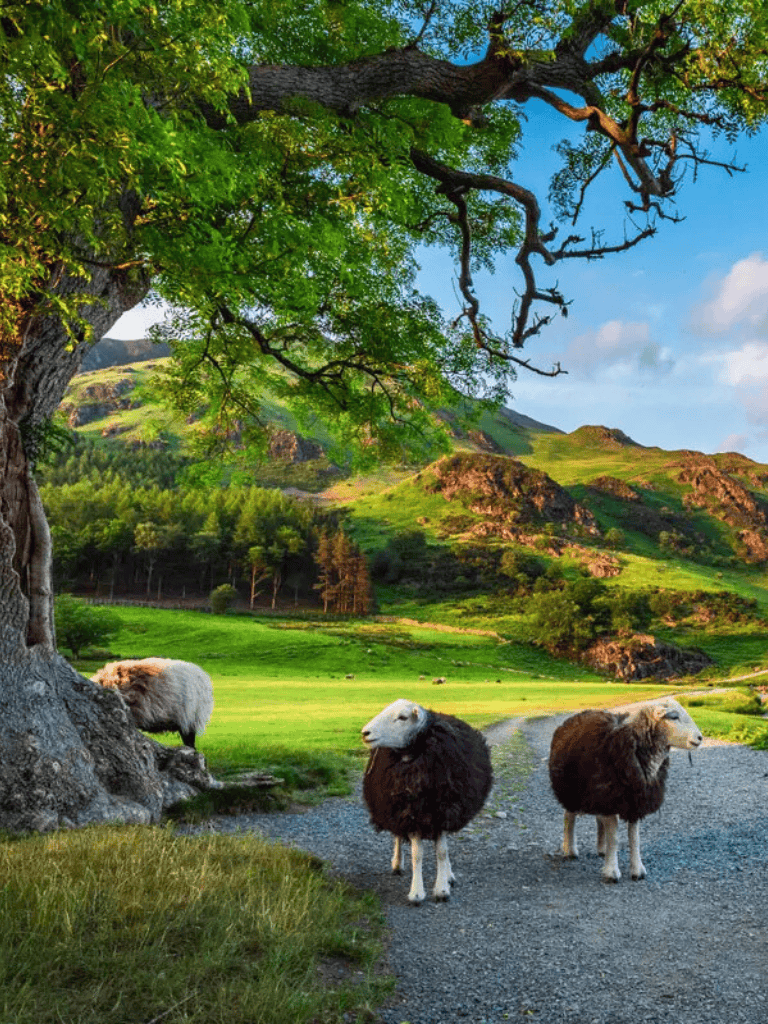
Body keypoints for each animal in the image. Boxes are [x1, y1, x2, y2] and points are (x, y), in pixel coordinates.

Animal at [361, 698, 493, 905]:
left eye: (402, 717)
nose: (365, 733)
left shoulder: (443, 811)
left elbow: (442, 852)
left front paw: (442, 889)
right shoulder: (411, 813)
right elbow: (417, 855)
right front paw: (416, 892)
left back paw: (449, 875)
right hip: (396, 809)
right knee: (397, 835)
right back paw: (397, 864)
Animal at [548, 698, 702, 882]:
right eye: (674, 716)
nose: (700, 738)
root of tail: (579, 715)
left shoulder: (634, 800)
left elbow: (634, 838)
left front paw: (637, 870)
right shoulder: (611, 796)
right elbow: (614, 838)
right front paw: (611, 872)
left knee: (598, 820)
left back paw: (601, 849)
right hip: (572, 790)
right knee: (568, 817)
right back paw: (570, 849)